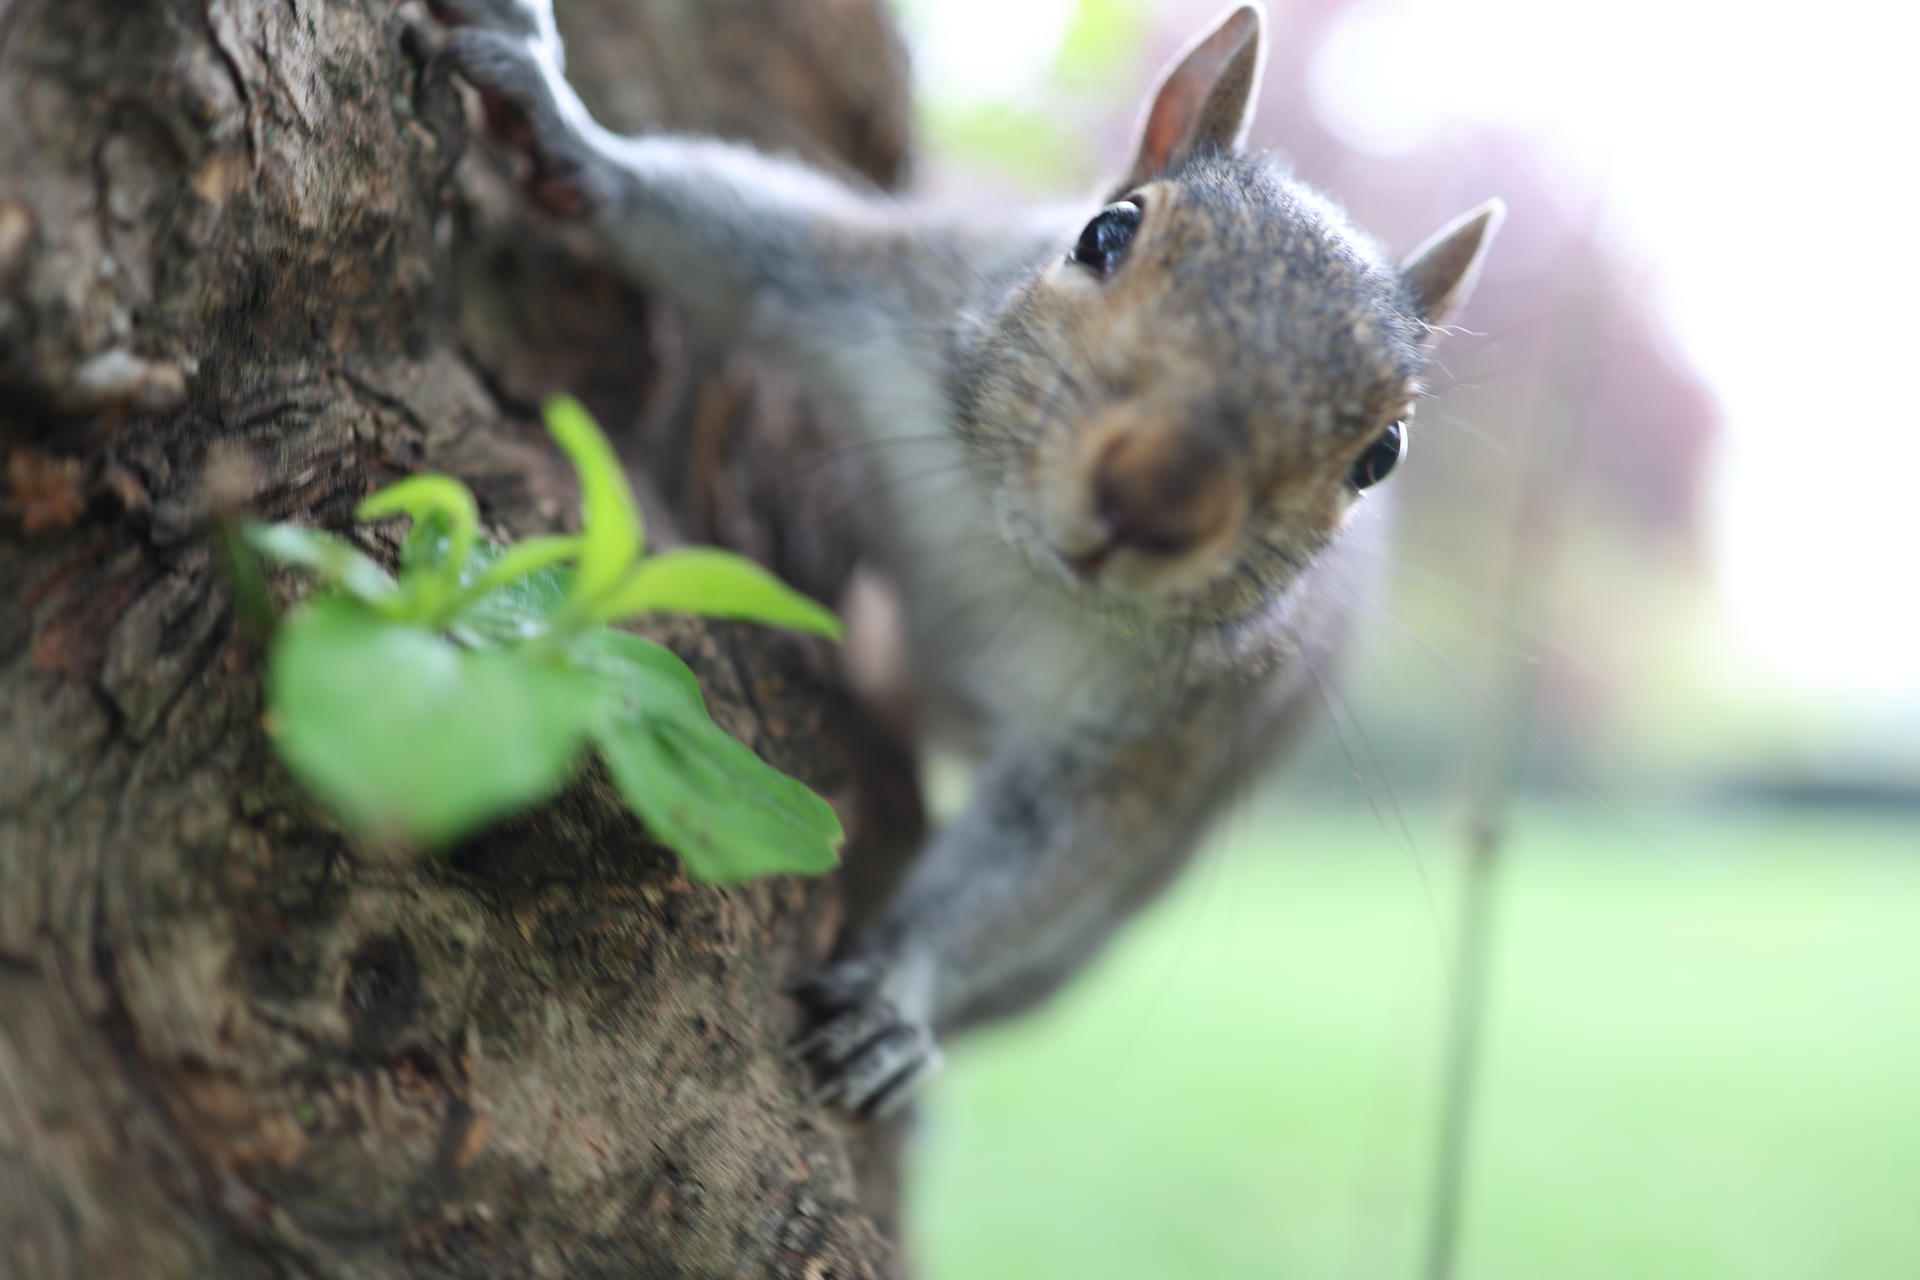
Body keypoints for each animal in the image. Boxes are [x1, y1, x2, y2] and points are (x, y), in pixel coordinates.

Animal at [429, 0, 1502, 1116]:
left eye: (1383, 452)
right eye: (1106, 232)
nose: (1154, 497)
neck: (1009, 551)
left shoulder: (1159, 742)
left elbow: (1032, 872)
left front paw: (896, 993)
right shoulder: (888, 293)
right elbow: (736, 241)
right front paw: (560, 125)